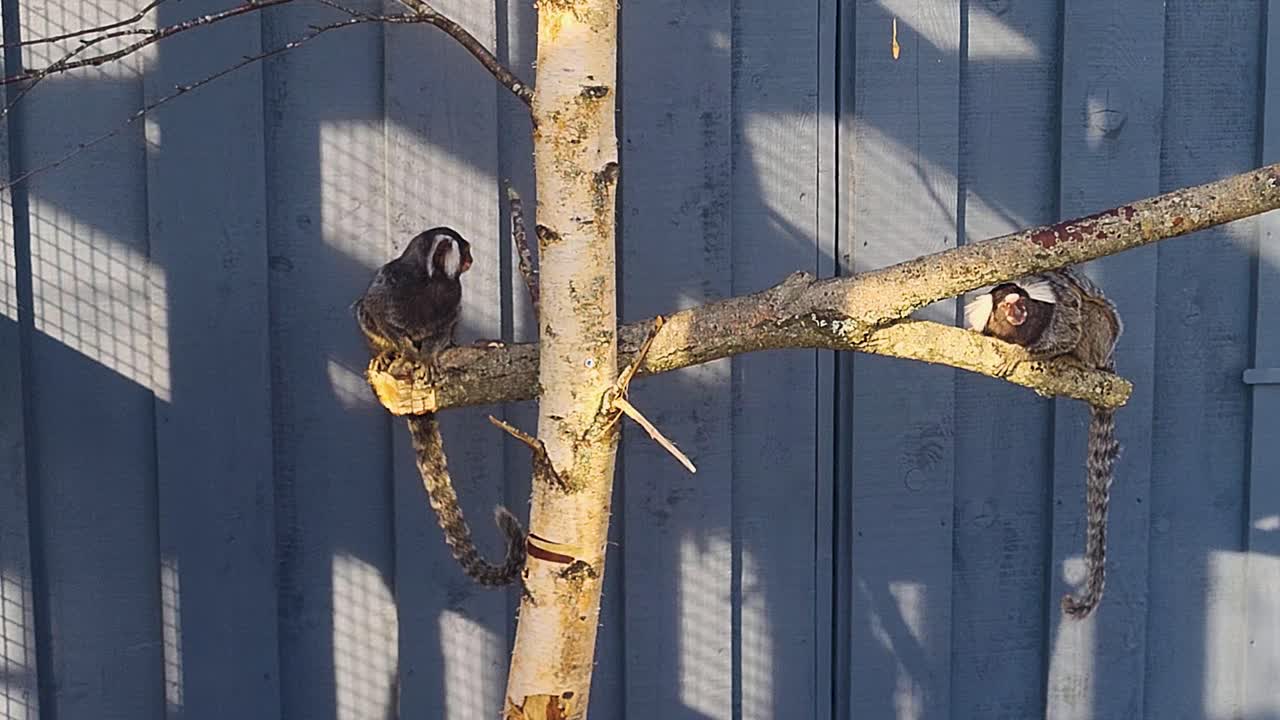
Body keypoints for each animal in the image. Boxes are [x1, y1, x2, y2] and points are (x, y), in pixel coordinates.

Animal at [353, 227, 526, 586]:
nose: (472, 259)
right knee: (365, 314)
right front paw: (405, 350)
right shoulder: (389, 288)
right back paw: (388, 355)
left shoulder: (451, 302)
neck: (428, 281)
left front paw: (430, 355)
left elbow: (443, 329)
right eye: (465, 251)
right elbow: (376, 313)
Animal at [964, 267, 1123, 619]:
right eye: (1005, 306)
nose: (1018, 312)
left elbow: (1070, 327)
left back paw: (1074, 362)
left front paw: (1020, 354)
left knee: (1088, 318)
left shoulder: (1060, 305)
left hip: (1102, 338)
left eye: (1021, 302)